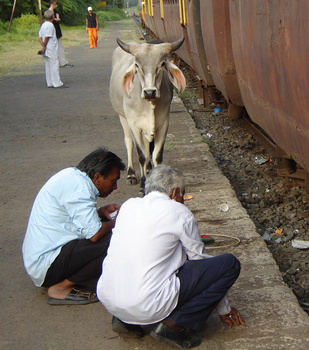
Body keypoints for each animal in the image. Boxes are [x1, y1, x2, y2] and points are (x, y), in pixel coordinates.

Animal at [109, 38, 184, 197]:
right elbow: (142, 155)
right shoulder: (134, 125)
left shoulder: (163, 123)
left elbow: (156, 155)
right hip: (122, 117)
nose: (150, 92)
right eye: (137, 65)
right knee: (129, 142)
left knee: (149, 147)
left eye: (162, 64)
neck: (149, 104)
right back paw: (131, 174)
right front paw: (143, 186)